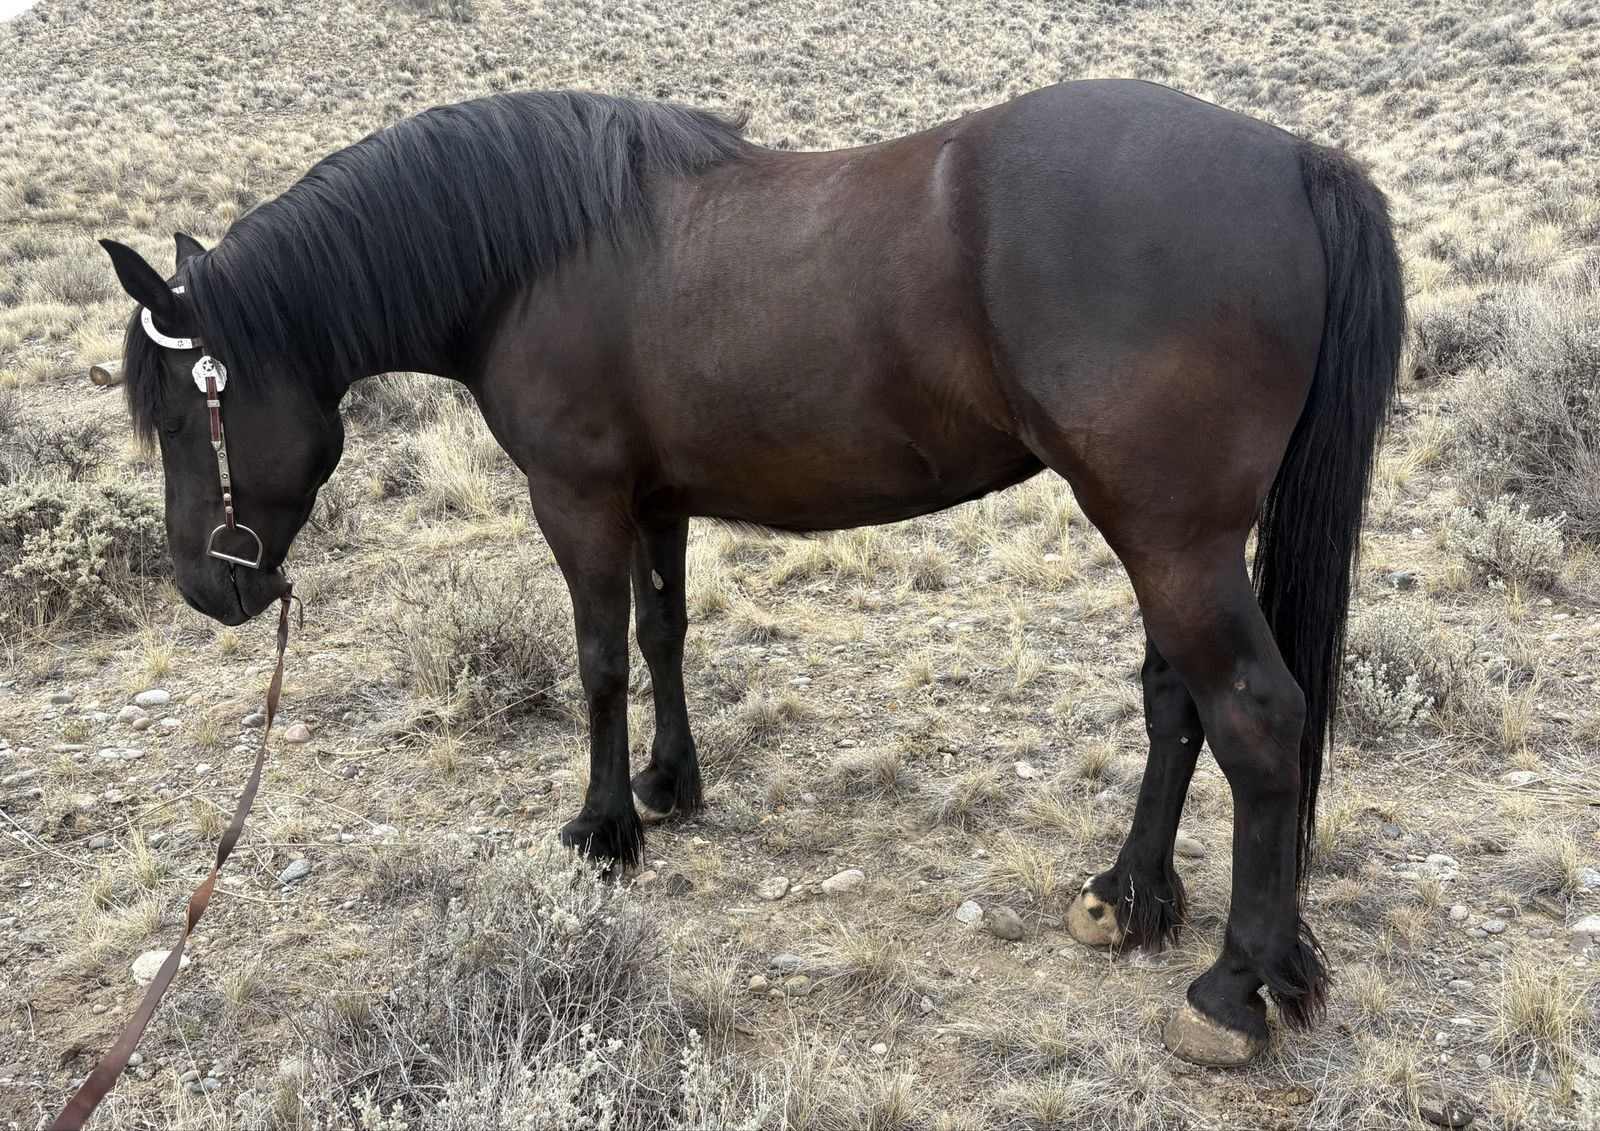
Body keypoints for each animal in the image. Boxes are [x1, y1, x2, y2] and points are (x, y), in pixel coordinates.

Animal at [99, 79, 1403, 1067]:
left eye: (179, 414)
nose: (206, 586)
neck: (534, 256)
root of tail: (1294, 159)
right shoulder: (657, 502)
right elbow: (661, 638)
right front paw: (671, 787)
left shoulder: (577, 499)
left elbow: (595, 661)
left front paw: (604, 830)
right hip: (1165, 536)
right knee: (1178, 703)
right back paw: (1131, 900)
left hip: (1168, 537)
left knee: (1256, 721)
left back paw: (1233, 992)